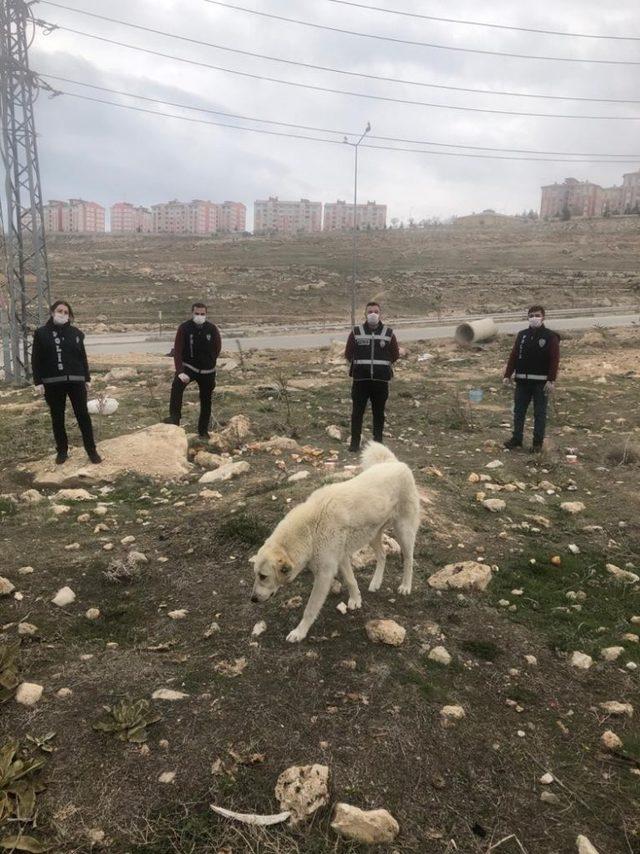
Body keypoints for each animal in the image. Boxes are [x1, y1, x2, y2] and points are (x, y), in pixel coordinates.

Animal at [249, 444, 420, 640]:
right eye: (256, 574)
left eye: (263, 576)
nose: (253, 599)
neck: (310, 530)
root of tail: (395, 462)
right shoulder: (341, 558)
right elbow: (351, 581)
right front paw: (356, 600)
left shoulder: (324, 574)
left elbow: (310, 608)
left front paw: (299, 632)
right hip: (372, 534)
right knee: (383, 555)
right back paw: (376, 582)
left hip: (404, 531)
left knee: (409, 559)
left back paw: (405, 586)